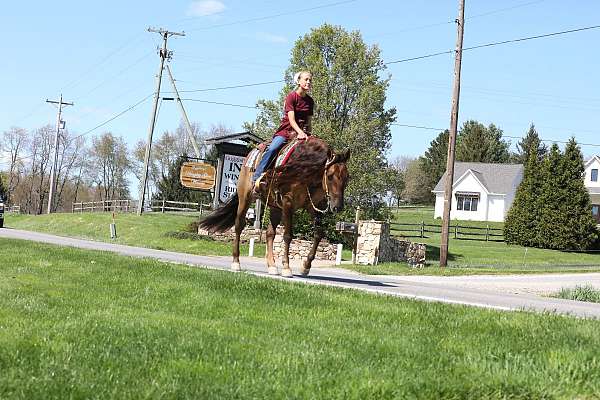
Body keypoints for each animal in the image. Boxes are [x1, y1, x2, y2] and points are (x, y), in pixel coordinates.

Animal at [200, 138, 352, 278]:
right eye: (330, 176)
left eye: (347, 178)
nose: (338, 207)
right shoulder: (288, 203)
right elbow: (288, 235)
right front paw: (286, 267)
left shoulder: (314, 206)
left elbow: (318, 234)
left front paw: (306, 266)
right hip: (245, 198)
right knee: (239, 226)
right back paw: (236, 262)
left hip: (275, 207)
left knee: (269, 234)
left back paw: (272, 266)